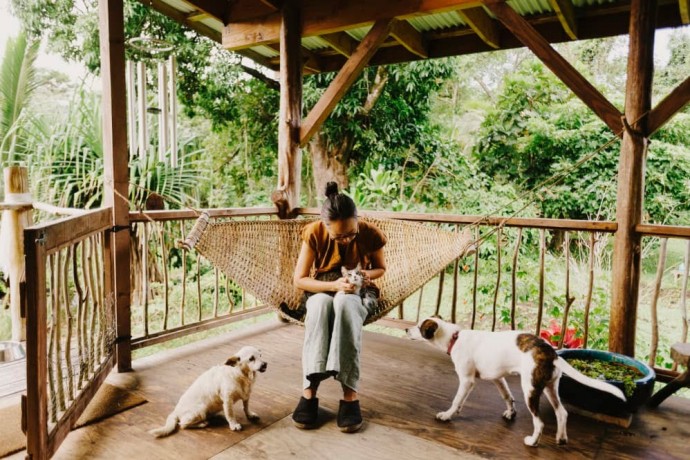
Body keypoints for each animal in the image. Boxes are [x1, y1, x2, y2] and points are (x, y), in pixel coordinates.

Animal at [404, 316, 624, 446]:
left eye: (418, 326)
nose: (406, 330)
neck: (454, 337)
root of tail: (551, 352)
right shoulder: (498, 378)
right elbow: (507, 396)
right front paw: (511, 413)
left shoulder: (467, 381)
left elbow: (457, 401)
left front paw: (447, 415)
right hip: (549, 388)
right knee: (562, 412)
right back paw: (561, 438)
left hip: (530, 390)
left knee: (539, 422)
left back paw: (532, 441)